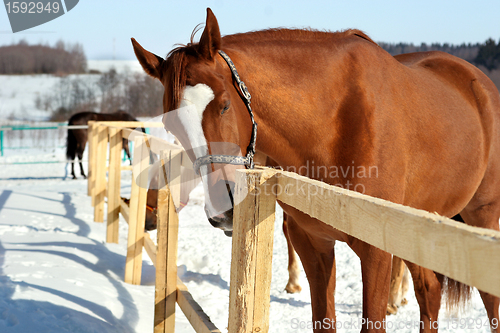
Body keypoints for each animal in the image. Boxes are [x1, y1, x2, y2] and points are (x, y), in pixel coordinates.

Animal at [132, 8, 500, 332]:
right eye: (170, 124)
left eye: (223, 104)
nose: (224, 212)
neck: (336, 122)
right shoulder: (312, 241)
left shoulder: (377, 251)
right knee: (430, 293)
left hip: (480, 217)